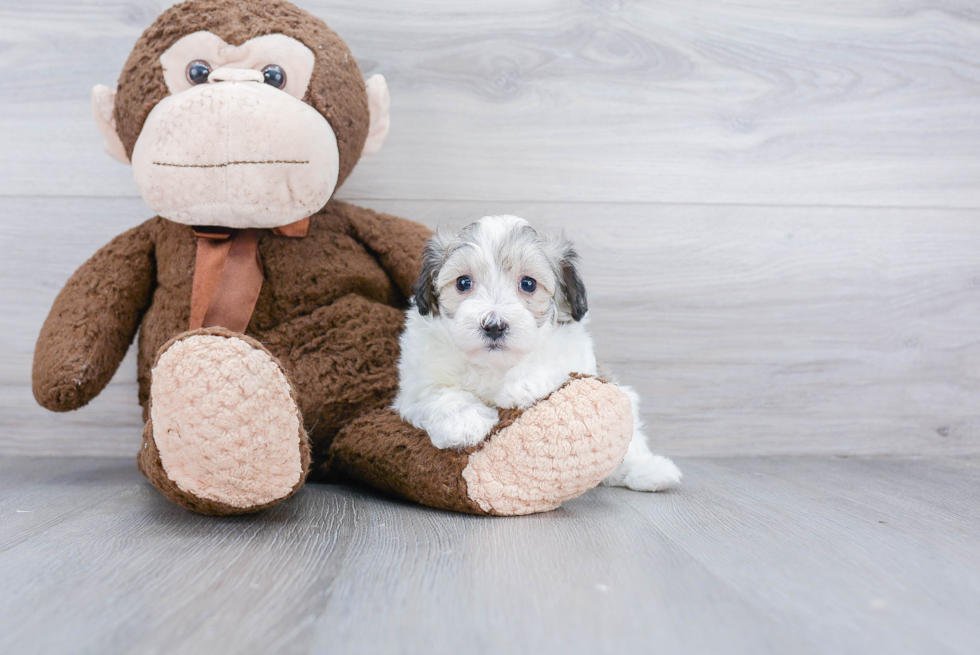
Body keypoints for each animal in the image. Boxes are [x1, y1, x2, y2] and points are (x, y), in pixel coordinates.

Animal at [390, 215, 680, 492]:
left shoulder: (574, 350)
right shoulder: (416, 387)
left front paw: (522, 384)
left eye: (528, 284)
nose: (494, 326)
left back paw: (649, 471)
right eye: (463, 282)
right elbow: (442, 395)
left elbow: (552, 358)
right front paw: (465, 421)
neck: (494, 365)